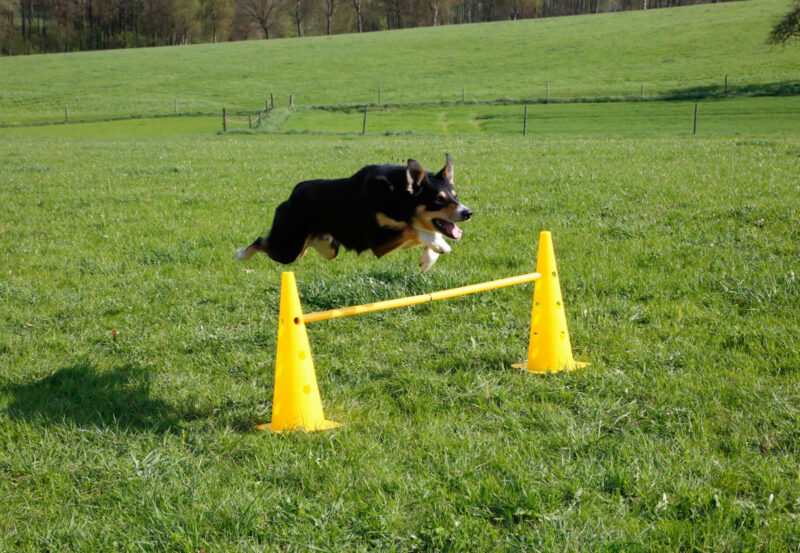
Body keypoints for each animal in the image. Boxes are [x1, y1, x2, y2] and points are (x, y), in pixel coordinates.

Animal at [234, 153, 472, 272]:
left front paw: (428, 258)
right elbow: (414, 229)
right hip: (288, 248)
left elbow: (425, 233)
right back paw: (241, 254)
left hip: (323, 248)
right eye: (438, 200)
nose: (467, 212)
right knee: (261, 241)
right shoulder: (376, 240)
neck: (396, 195)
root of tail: (293, 194)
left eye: (455, 196)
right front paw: (439, 244)